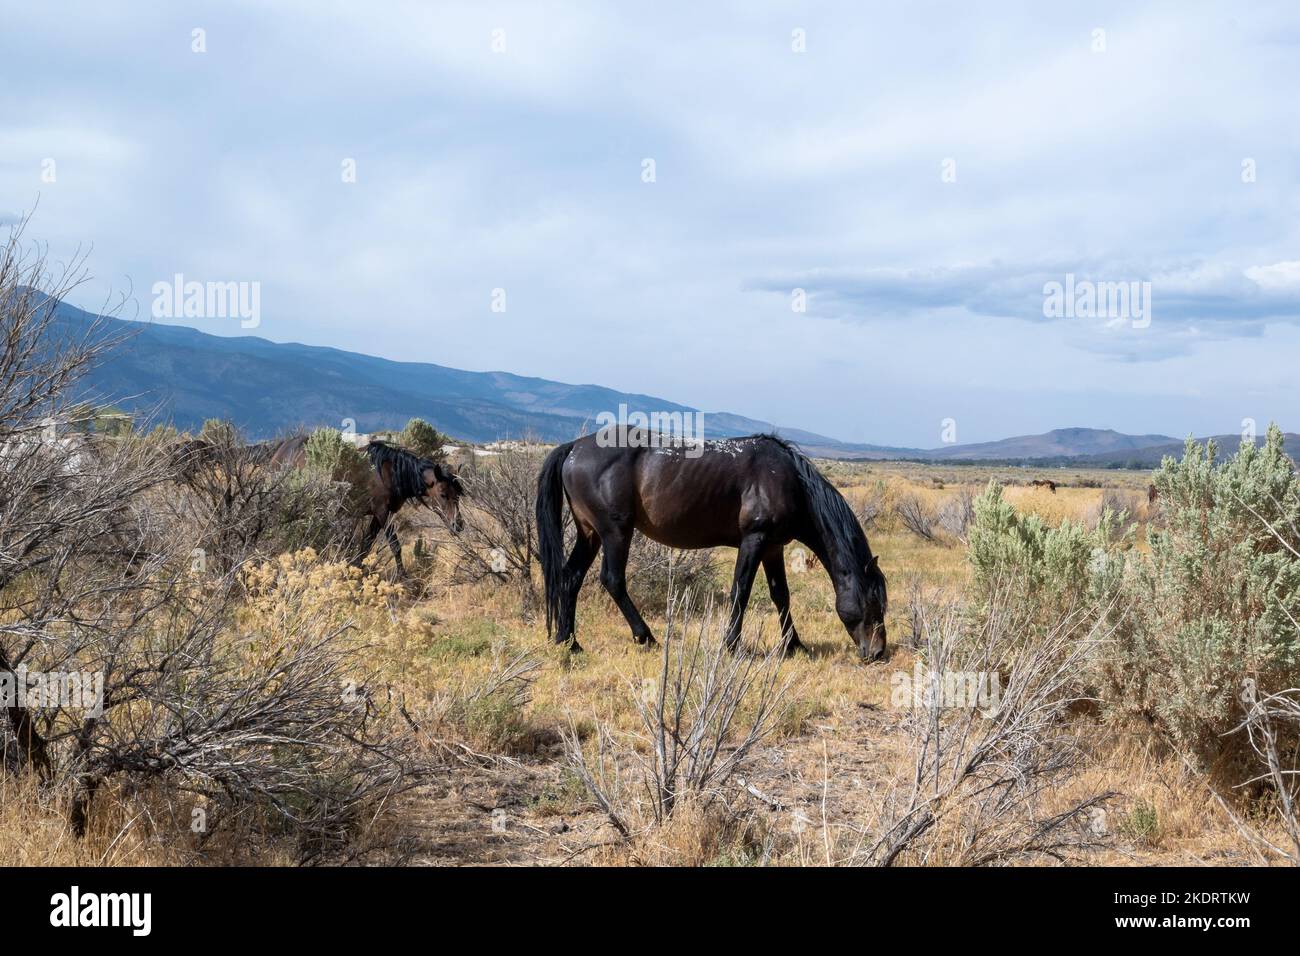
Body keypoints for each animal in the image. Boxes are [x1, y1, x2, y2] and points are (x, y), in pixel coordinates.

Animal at [265, 434, 467, 574]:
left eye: (458, 494)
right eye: (443, 494)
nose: (458, 524)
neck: (390, 474)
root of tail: (281, 450)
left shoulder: (377, 516)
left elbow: (366, 546)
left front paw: (357, 570)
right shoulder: (382, 513)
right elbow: (395, 546)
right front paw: (403, 577)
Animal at [533, 431, 889, 658]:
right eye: (873, 602)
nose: (877, 652)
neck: (787, 480)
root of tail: (574, 447)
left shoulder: (773, 547)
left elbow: (781, 596)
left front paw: (794, 645)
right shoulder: (754, 540)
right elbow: (741, 591)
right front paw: (731, 645)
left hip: (589, 534)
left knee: (570, 578)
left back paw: (569, 642)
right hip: (615, 532)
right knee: (612, 580)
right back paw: (645, 636)